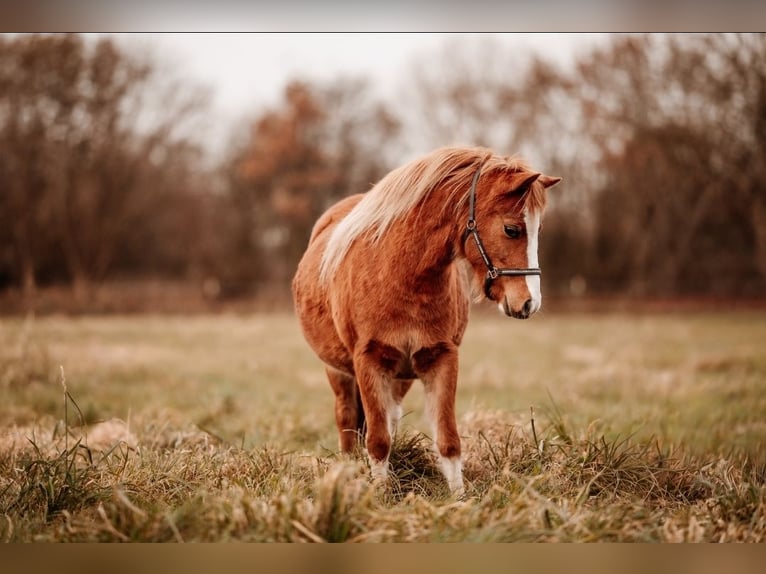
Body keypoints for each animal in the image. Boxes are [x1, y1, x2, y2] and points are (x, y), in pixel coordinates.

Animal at [291, 146, 561, 495]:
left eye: (538, 230)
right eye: (511, 229)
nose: (529, 302)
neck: (401, 275)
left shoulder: (441, 360)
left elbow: (447, 441)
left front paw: (458, 498)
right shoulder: (367, 362)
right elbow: (377, 441)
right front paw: (380, 496)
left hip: (400, 377)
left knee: (389, 415)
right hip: (339, 372)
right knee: (348, 423)